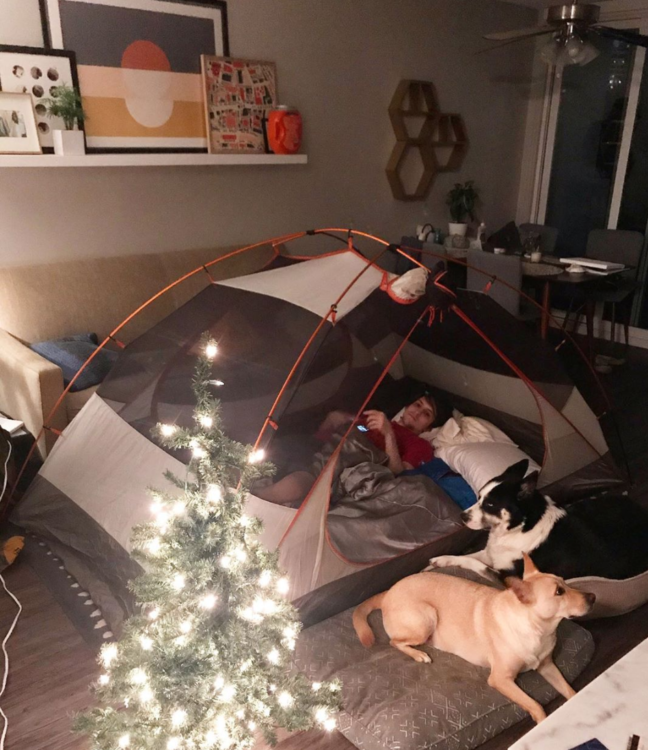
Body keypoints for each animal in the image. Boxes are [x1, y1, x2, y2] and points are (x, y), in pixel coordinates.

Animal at [352, 556, 596, 724]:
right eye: (558, 592)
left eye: (565, 583)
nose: (593, 597)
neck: (538, 629)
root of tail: (388, 591)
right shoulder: (500, 679)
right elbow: (535, 705)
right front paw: (544, 720)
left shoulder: (548, 666)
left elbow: (570, 691)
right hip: (426, 617)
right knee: (394, 642)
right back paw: (419, 654)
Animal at [428, 462, 648, 584]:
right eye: (478, 496)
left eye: (490, 504)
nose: (462, 517)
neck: (519, 527)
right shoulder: (493, 554)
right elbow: (467, 556)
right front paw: (440, 561)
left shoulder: (510, 577)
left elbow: (473, 562)